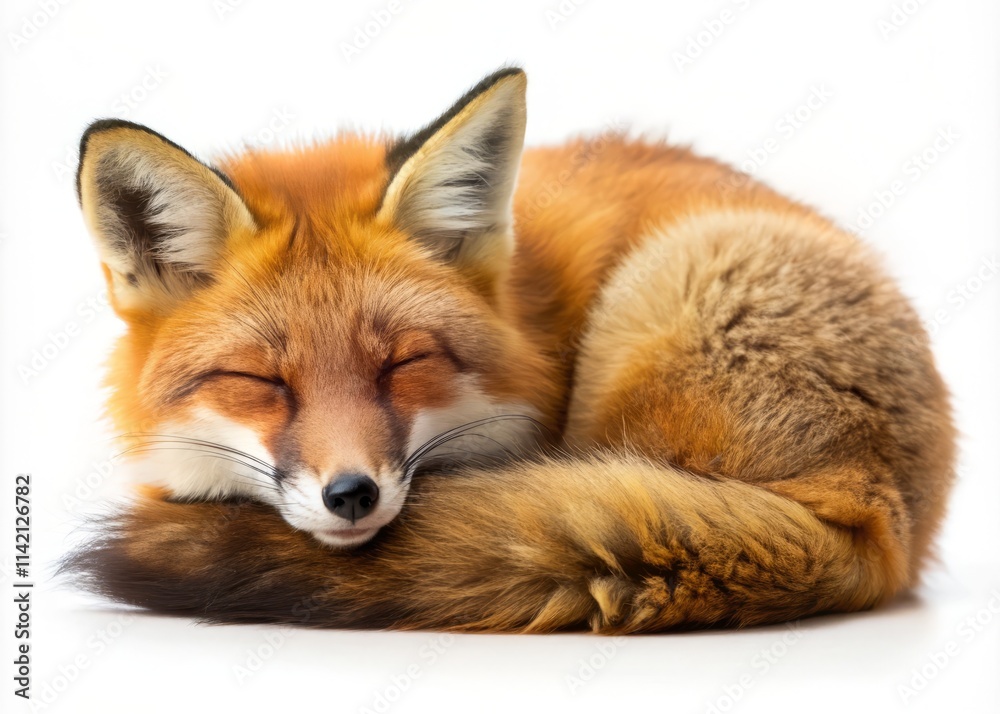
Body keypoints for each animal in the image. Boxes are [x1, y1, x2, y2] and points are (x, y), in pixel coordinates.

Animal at [64, 67, 956, 633]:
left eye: (403, 363)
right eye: (262, 380)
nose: (351, 495)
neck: (531, 316)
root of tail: (878, 522)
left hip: (652, 304)